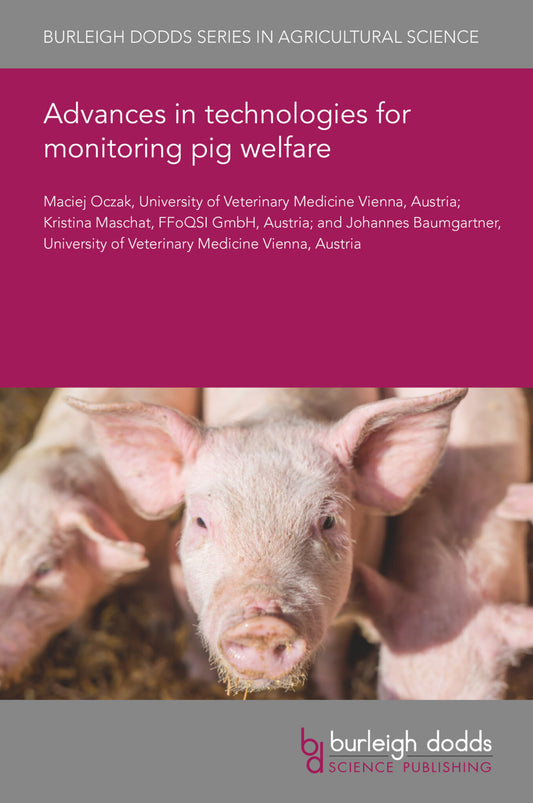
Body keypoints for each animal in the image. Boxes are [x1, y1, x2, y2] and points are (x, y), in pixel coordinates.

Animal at [68, 387, 466, 697]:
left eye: (328, 521)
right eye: (200, 521)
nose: (262, 623)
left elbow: (333, 654)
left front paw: (331, 695)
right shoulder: (175, 570)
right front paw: (198, 680)